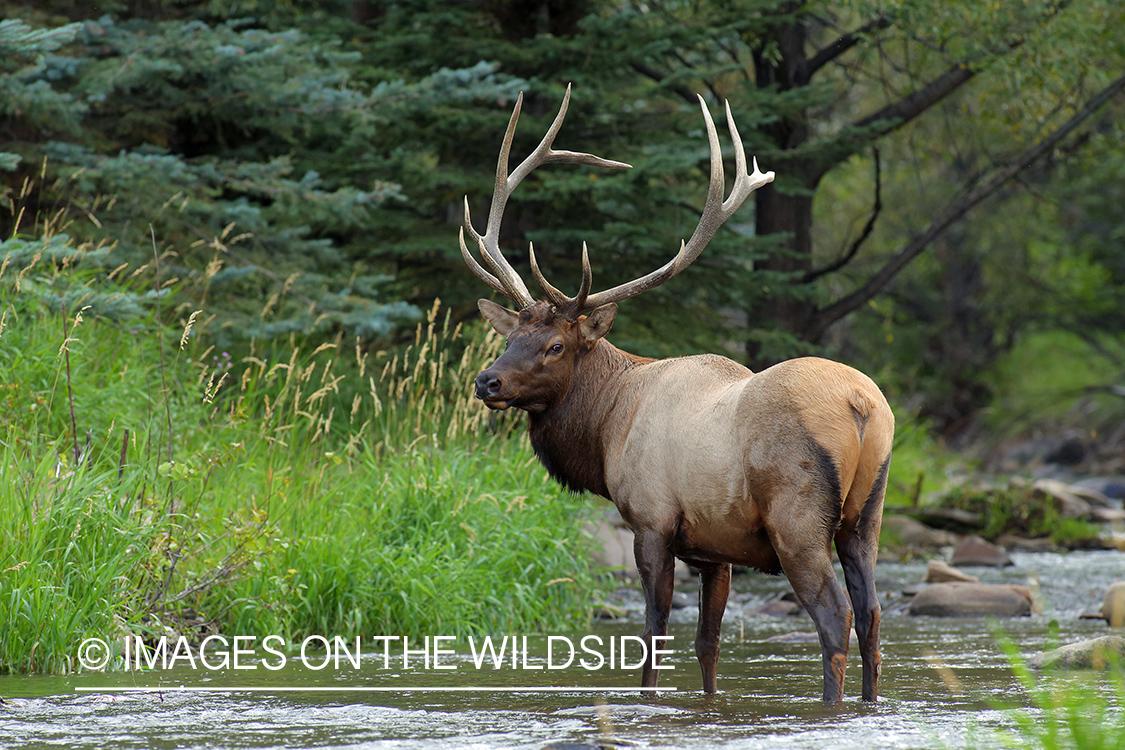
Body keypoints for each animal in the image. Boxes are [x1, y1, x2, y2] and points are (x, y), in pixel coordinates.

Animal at [461, 88, 891, 706]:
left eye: (555, 345)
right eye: (509, 337)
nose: (487, 382)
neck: (607, 425)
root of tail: (862, 404)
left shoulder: (651, 521)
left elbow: (653, 635)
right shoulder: (714, 550)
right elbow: (707, 645)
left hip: (798, 518)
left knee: (836, 617)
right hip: (866, 516)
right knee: (873, 615)